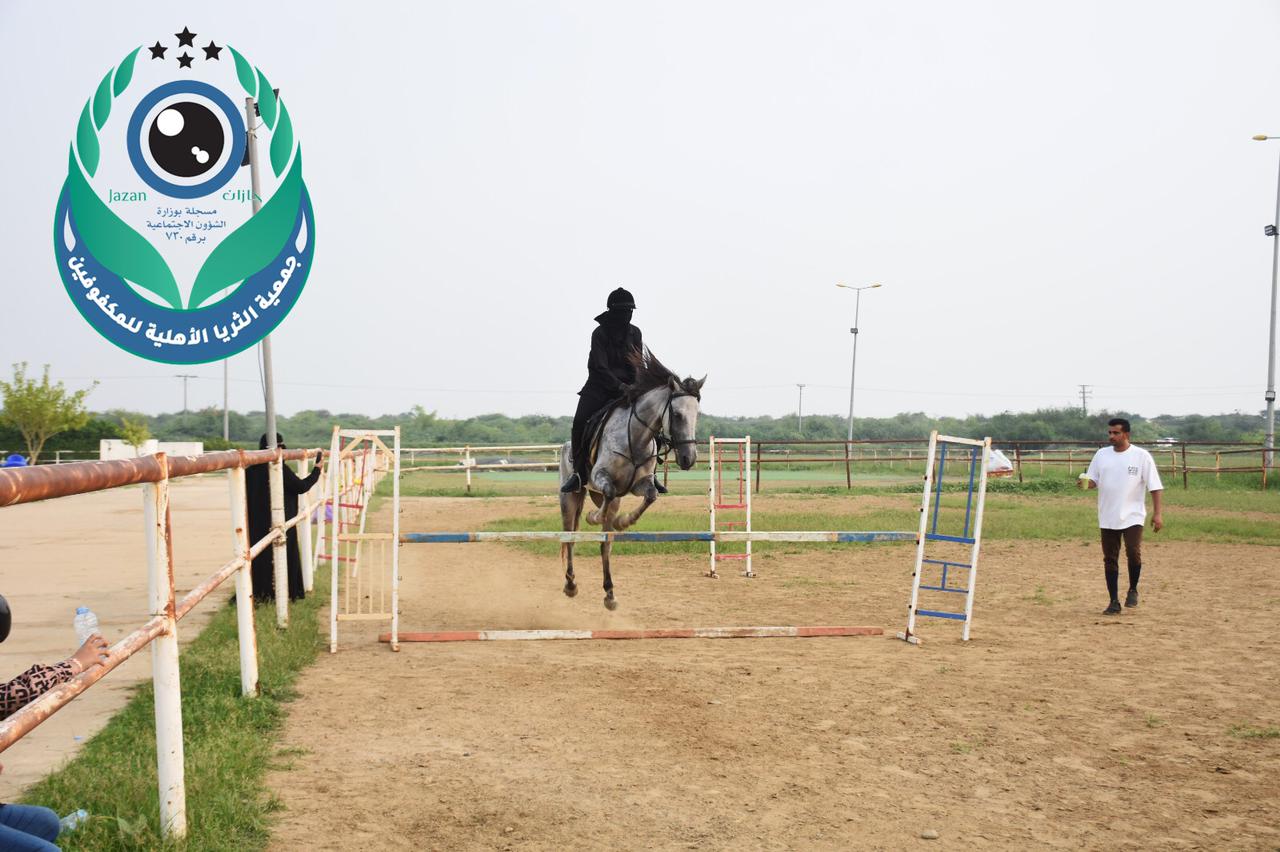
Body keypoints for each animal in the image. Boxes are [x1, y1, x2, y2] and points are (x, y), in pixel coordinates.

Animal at [555, 347, 706, 606]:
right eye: (676, 415)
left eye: (697, 415)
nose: (688, 459)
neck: (636, 437)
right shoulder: (599, 477)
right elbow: (608, 490)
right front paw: (594, 517)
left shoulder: (639, 485)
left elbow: (652, 496)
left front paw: (623, 522)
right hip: (570, 497)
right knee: (570, 537)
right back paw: (571, 585)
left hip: (609, 501)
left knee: (605, 544)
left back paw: (609, 593)